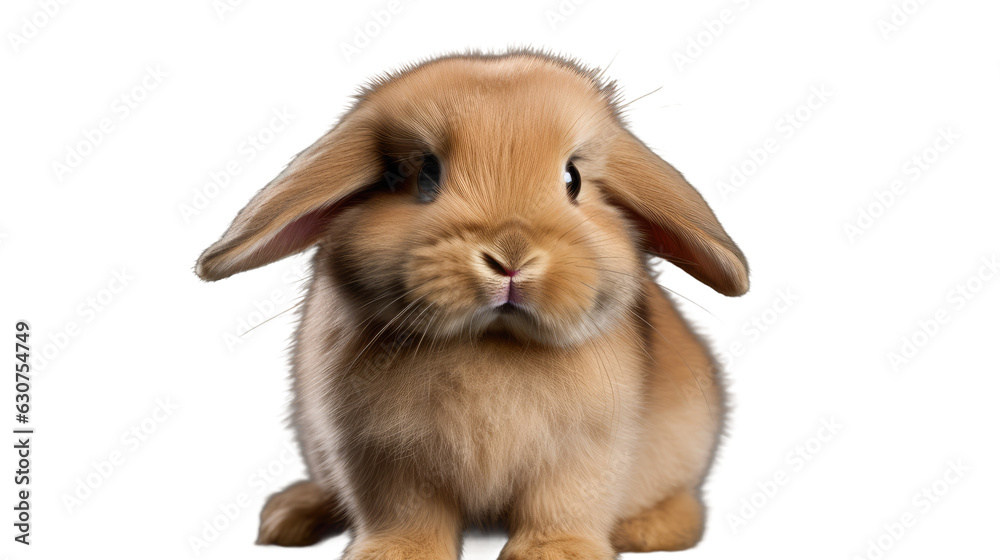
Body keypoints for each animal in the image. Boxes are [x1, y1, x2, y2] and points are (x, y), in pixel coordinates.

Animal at [196, 49, 748, 559]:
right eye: (424, 174)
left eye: (573, 179)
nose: (511, 257)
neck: (491, 343)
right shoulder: (380, 457)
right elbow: (404, 513)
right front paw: (397, 553)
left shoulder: (586, 451)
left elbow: (566, 503)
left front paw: (556, 552)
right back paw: (289, 516)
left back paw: (650, 530)